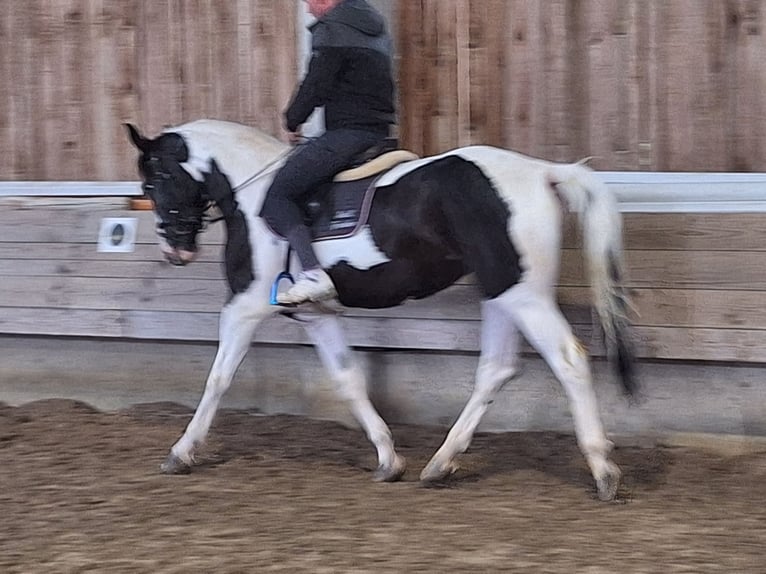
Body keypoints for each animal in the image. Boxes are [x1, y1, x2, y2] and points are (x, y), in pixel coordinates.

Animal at [129, 119, 640, 502]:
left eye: (156, 179)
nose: (174, 251)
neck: (251, 196)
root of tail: (541, 171)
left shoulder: (245, 306)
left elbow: (217, 379)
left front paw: (181, 452)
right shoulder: (317, 316)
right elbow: (348, 379)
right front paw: (388, 460)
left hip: (523, 295)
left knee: (568, 360)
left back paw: (603, 470)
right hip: (500, 294)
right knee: (495, 370)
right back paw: (440, 464)